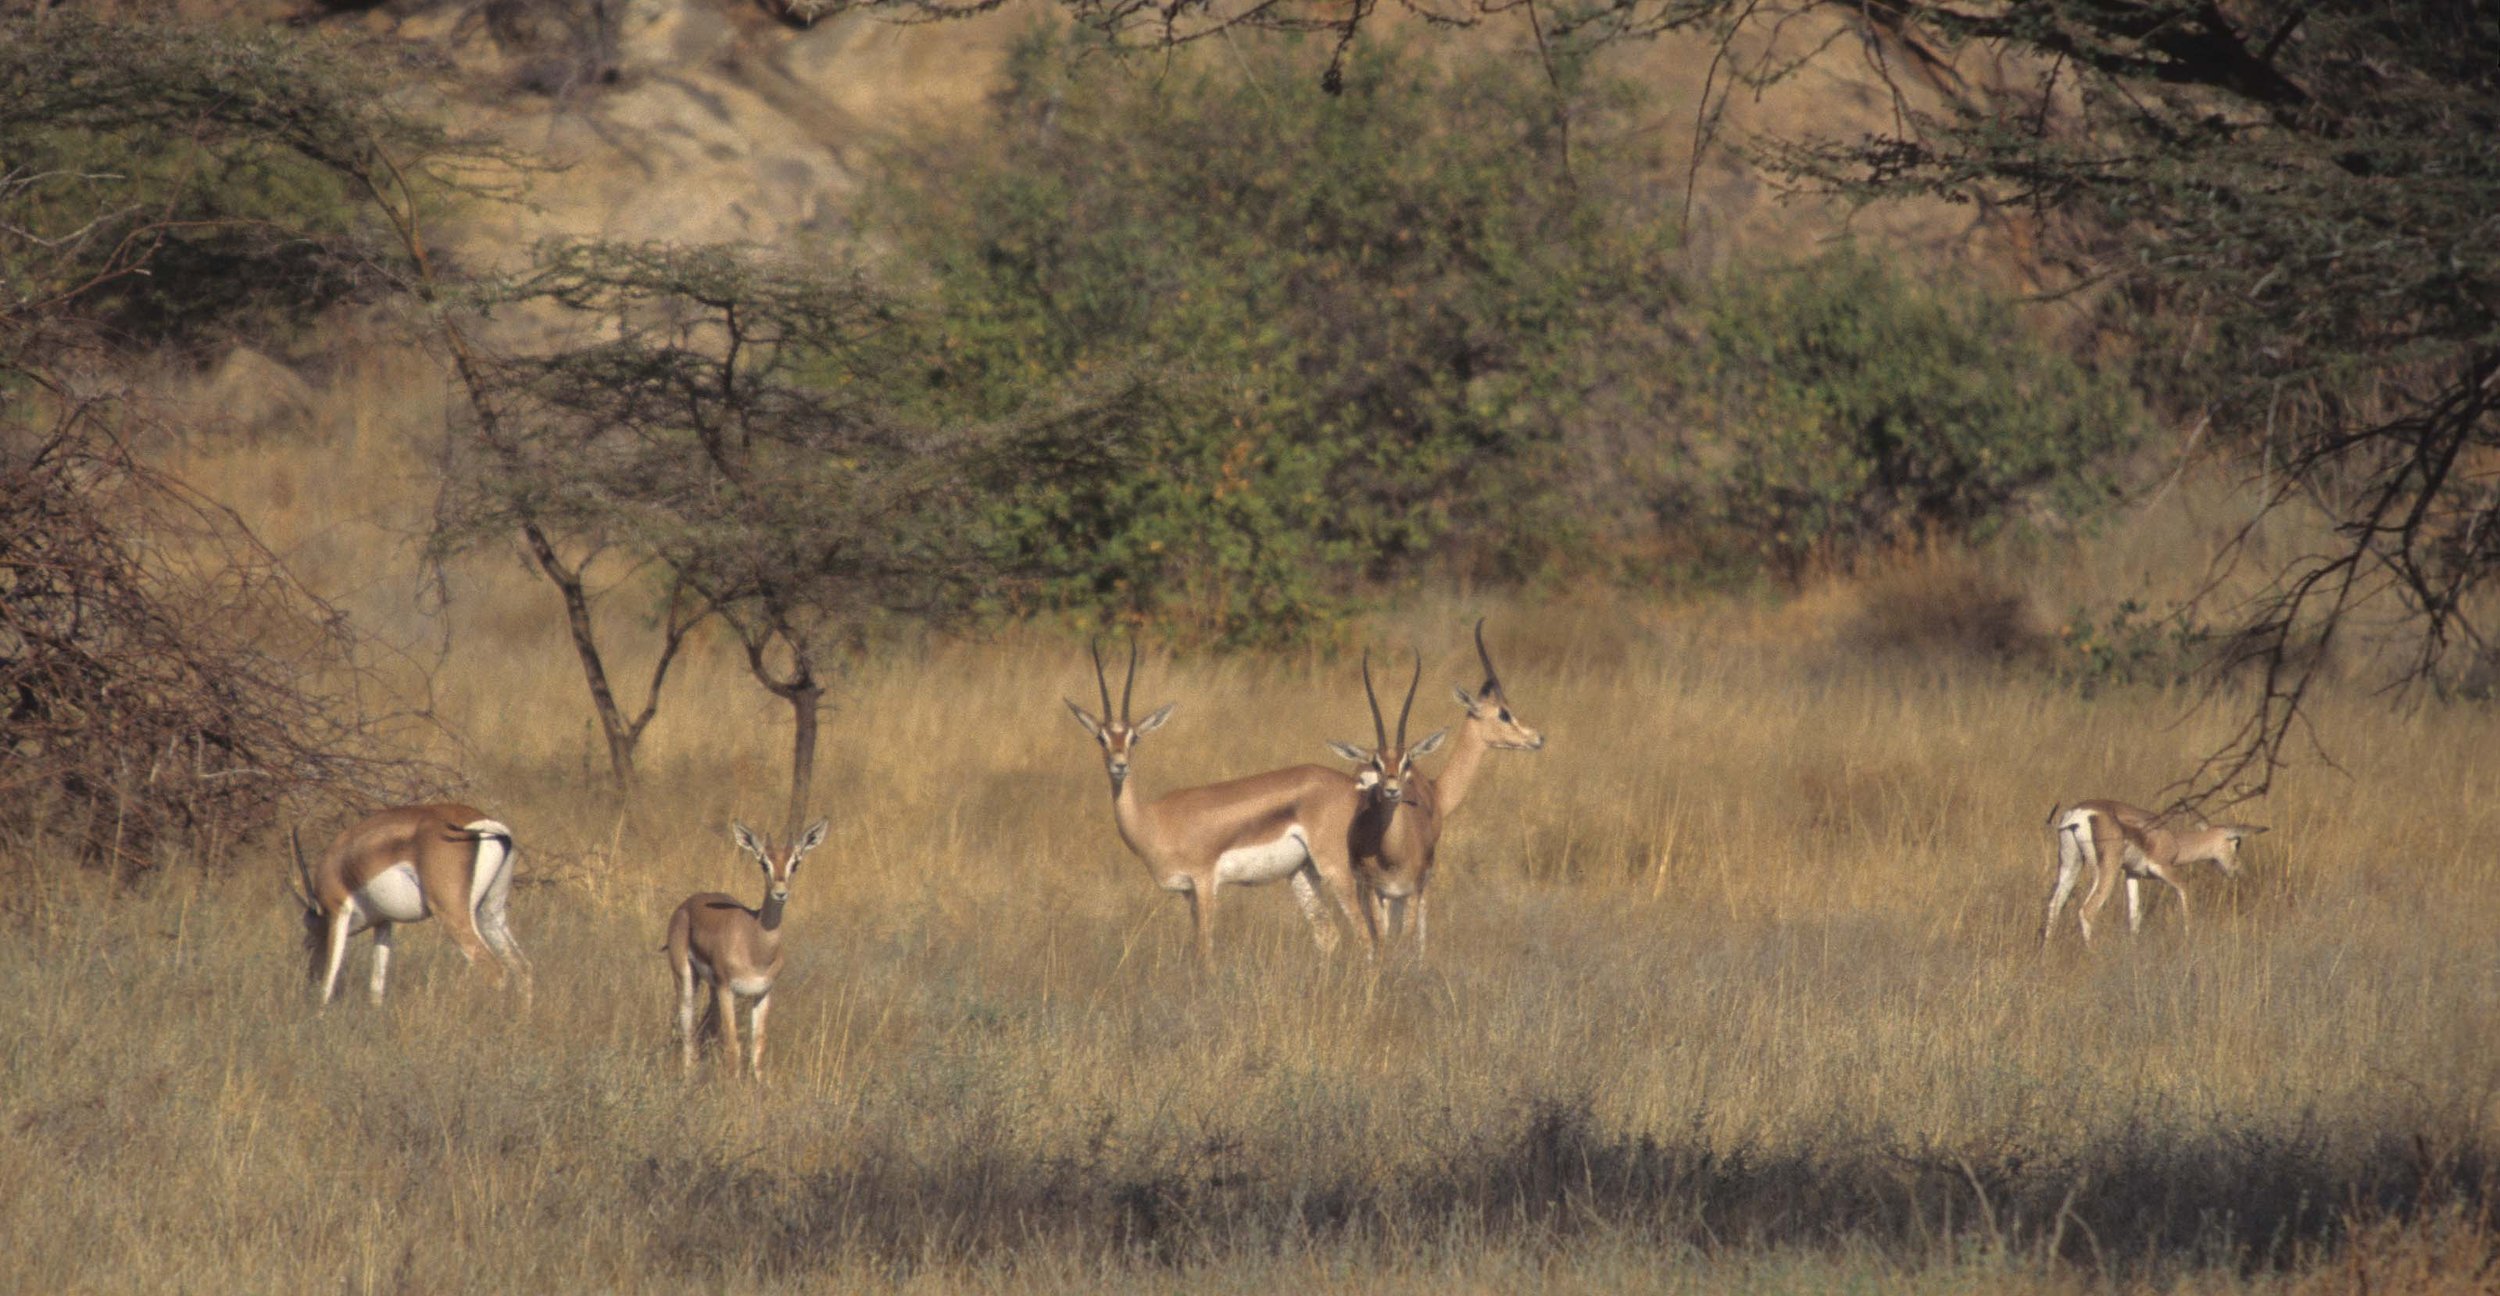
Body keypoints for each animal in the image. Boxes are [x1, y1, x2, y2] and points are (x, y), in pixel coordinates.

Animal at [287, 803, 531, 1006]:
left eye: (309, 943)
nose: (309, 977)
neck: (343, 864)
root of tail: (485, 825)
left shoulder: (338, 911)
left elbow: (330, 977)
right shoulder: (383, 922)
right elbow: (377, 984)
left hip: (453, 915)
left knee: (494, 970)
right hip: (489, 914)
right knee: (521, 966)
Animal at [664, 818, 827, 1079]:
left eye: (795, 863)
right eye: (763, 863)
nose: (780, 893)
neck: (755, 944)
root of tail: (688, 903)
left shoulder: (763, 993)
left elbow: (758, 1045)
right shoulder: (727, 989)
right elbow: (733, 1045)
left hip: (713, 990)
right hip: (687, 978)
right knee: (687, 1027)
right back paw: (688, 1077)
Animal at [1065, 640, 1376, 970]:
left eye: (1134, 737)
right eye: (1101, 737)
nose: (1119, 766)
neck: (1154, 821)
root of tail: (1352, 786)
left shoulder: (1204, 883)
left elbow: (1204, 952)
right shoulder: (1188, 893)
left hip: (1335, 868)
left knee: (1365, 935)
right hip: (1302, 873)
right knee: (1328, 935)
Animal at [2042, 799, 2268, 945]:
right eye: (2237, 843)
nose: (2238, 871)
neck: (2174, 841)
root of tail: (2078, 814)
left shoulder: (2131, 874)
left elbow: (2135, 915)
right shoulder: (2164, 868)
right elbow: (2184, 892)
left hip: (2070, 864)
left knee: (2054, 905)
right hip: (2105, 869)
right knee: (2087, 910)